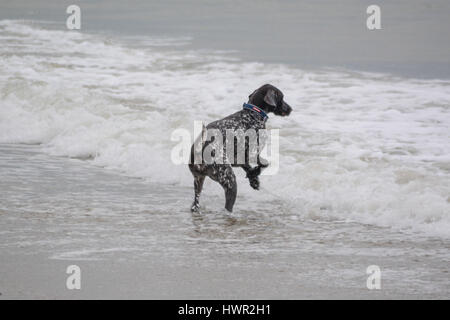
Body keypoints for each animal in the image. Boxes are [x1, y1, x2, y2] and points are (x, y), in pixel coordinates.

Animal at [187, 84, 290, 212]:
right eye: (282, 97)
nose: (290, 109)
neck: (253, 113)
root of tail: (199, 149)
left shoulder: (238, 158)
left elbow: (249, 167)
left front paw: (254, 179)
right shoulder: (252, 153)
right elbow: (264, 164)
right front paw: (255, 173)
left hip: (199, 181)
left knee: (195, 203)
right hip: (230, 182)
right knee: (228, 206)